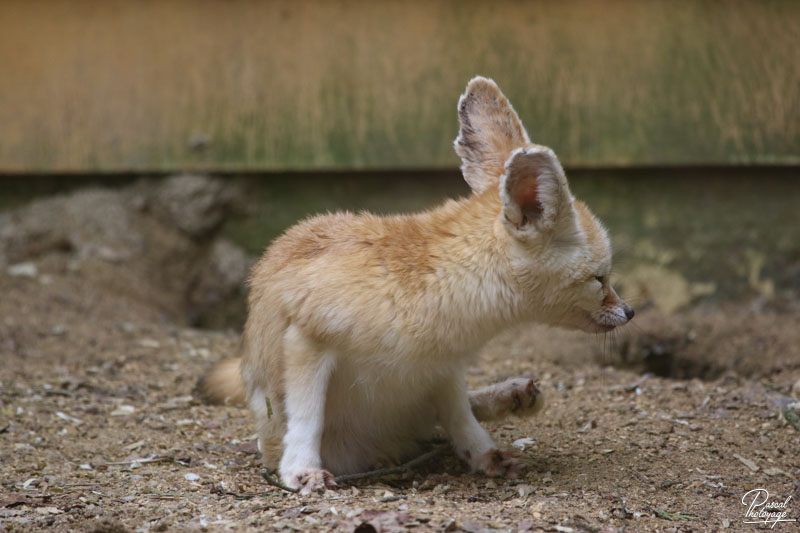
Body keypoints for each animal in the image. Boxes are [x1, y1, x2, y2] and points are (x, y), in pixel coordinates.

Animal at [197, 77, 636, 492]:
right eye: (599, 278)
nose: (630, 312)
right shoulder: (308, 338)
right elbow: (308, 416)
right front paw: (301, 468)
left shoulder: (443, 367)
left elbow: (461, 417)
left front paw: (484, 453)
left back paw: (509, 395)